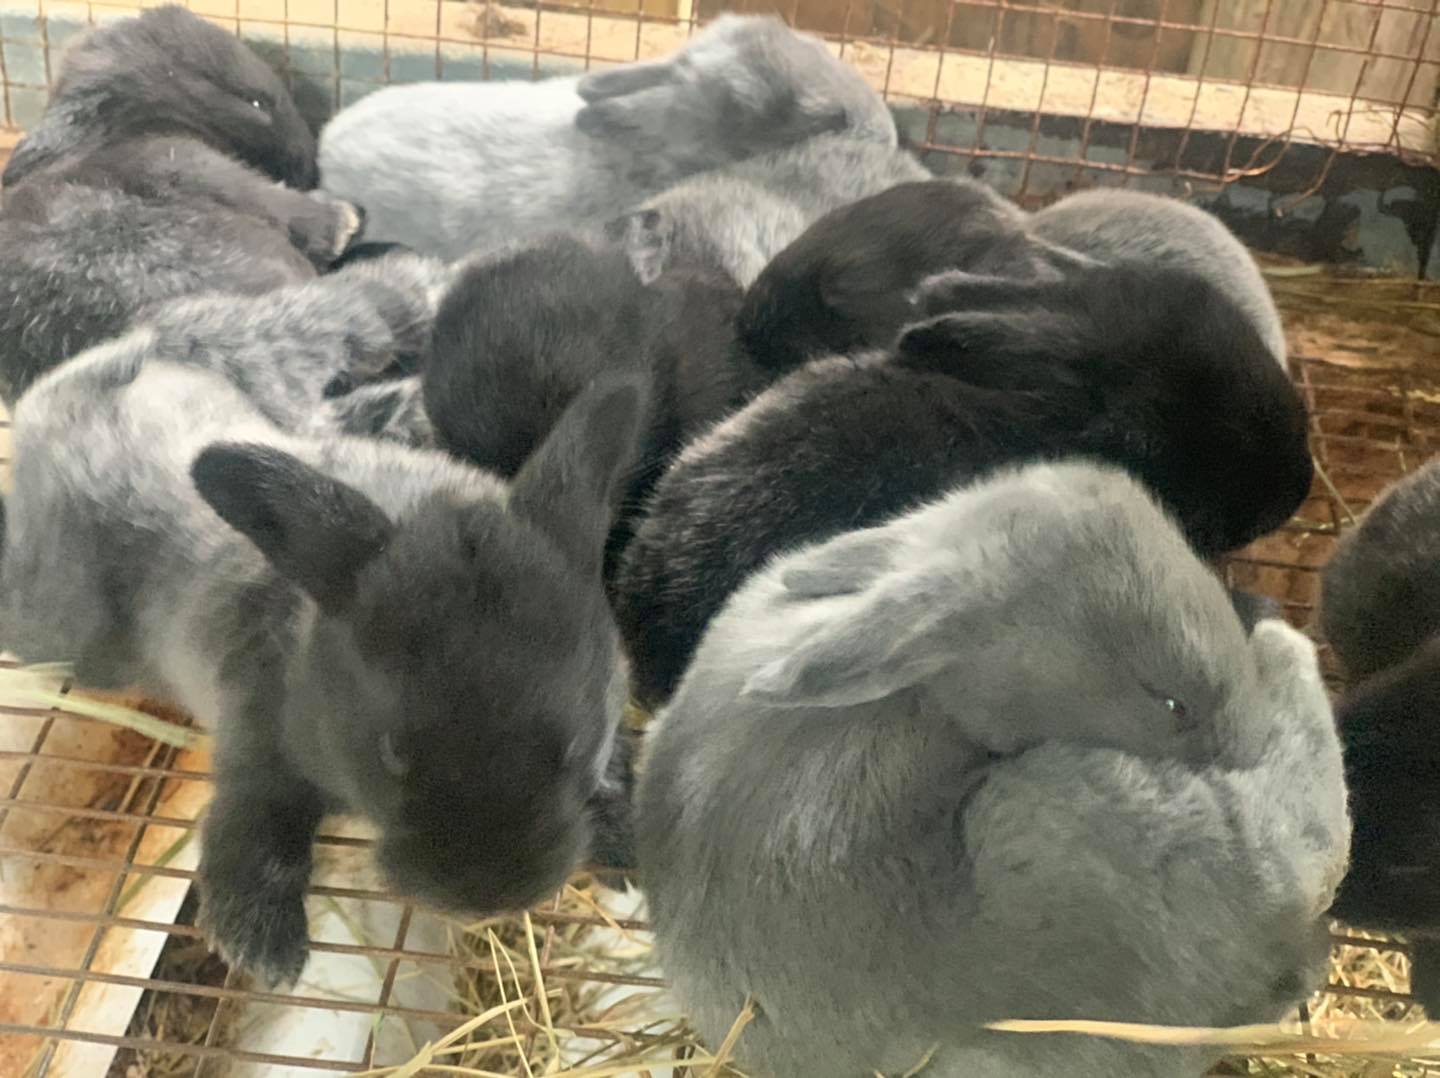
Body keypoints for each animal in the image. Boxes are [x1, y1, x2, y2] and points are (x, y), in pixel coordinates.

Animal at [0, 274, 647, 988]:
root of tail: (56, 395)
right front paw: (264, 952)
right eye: (392, 751)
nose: (488, 895)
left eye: (576, 744)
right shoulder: (255, 752)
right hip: (60, 633)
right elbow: (252, 836)